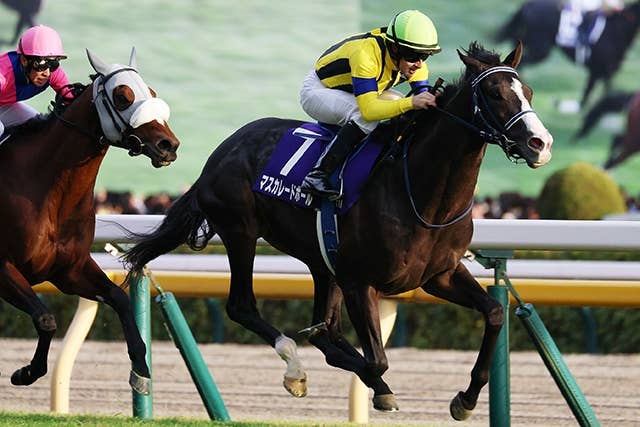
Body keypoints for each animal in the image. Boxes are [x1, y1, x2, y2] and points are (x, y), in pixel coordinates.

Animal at [0, 48, 179, 394]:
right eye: (122, 97)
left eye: (151, 93)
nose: (169, 145)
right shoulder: (2, 268)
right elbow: (46, 320)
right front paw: (25, 373)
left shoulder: (69, 270)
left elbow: (119, 298)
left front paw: (141, 370)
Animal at [123, 41, 553, 420]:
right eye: (495, 94)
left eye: (528, 92)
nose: (541, 143)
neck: (421, 191)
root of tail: (221, 151)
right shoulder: (360, 281)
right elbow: (376, 362)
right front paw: (379, 390)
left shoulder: (439, 275)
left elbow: (494, 313)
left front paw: (465, 399)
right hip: (241, 232)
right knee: (244, 306)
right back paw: (294, 369)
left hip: (320, 260)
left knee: (322, 327)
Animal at [495, 0, 640, 107]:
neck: (617, 29)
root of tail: (528, 4)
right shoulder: (600, 69)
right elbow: (598, 91)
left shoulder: (603, 70)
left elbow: (596, 91)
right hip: (541, 48)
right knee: (524, 60)